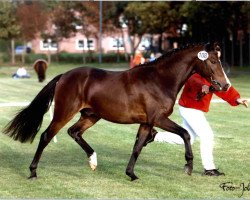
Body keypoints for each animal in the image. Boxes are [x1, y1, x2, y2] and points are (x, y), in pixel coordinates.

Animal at [3, 42, 230, 181]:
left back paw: (93, 160)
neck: (159, 80)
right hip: (64, 113)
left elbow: (138, 146)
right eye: (213, 61)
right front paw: (188, 166)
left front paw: (131, 174)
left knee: (74, 132)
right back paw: (33, 172)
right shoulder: (158, 118)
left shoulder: (147, 122)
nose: (225, 85)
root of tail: (64, 76)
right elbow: (184, 134)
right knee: (46, 136)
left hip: (91, 115)